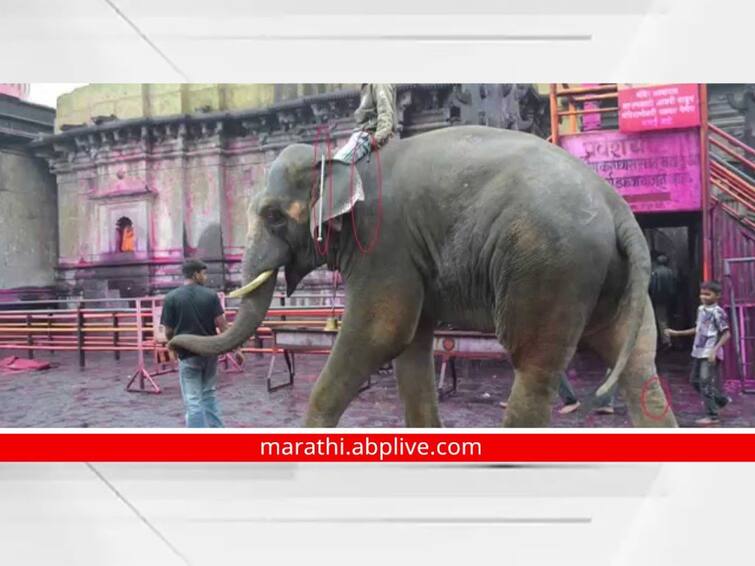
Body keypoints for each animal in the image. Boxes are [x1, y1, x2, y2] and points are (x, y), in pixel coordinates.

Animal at [173, 123, 680, 426]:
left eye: (274, 216)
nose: (173, 342)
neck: (343, 161)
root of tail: (619, 209)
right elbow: (411, 345)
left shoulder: (384, 244)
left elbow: (380, 334)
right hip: (609, 279)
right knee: (639, 366)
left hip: (549, 265)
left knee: (534, 367)